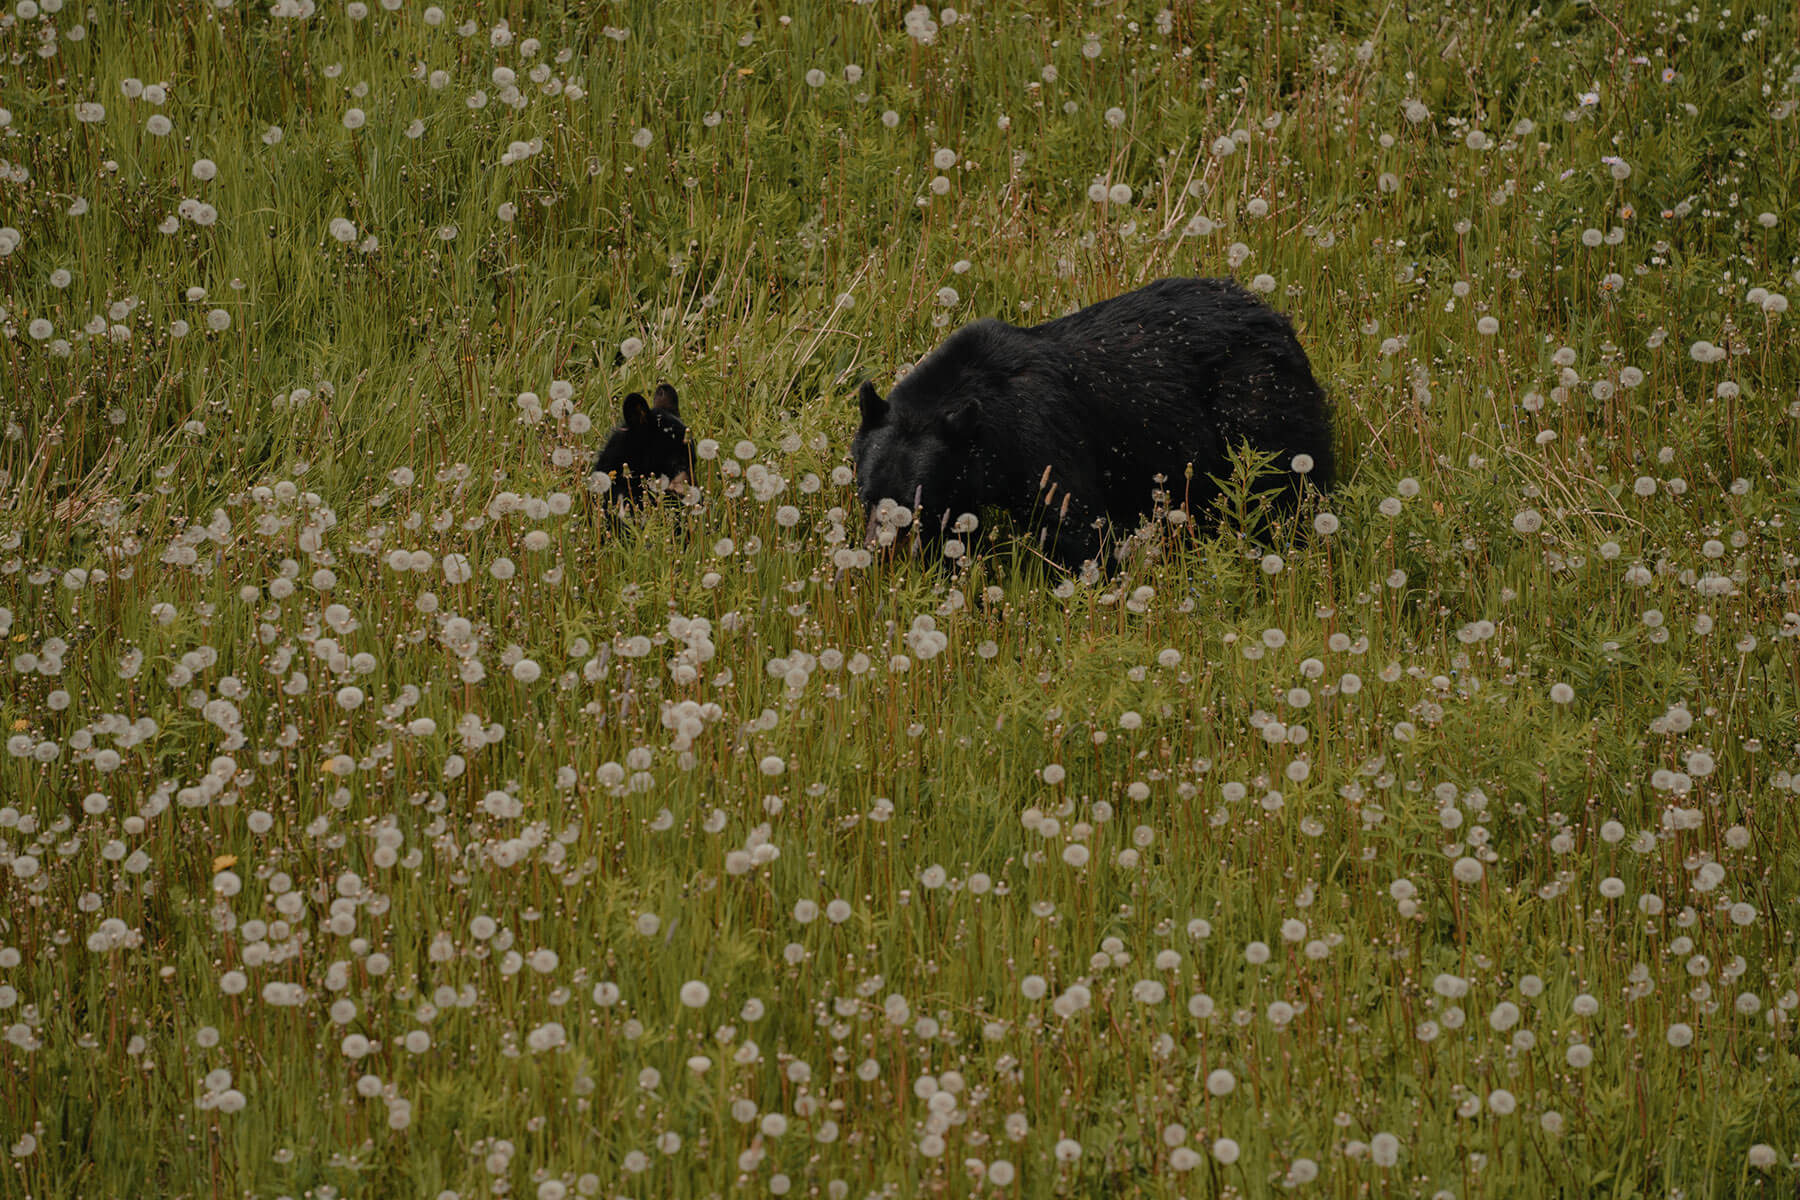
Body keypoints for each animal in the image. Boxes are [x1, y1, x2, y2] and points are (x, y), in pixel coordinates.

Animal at [851, 277, 1333, 570]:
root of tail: (1276, 318)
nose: (876, 553)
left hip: (1257, 406)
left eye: (909, 506)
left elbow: (1074, 521)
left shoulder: (1040, 437)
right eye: (866, 495)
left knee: (1284, 482)